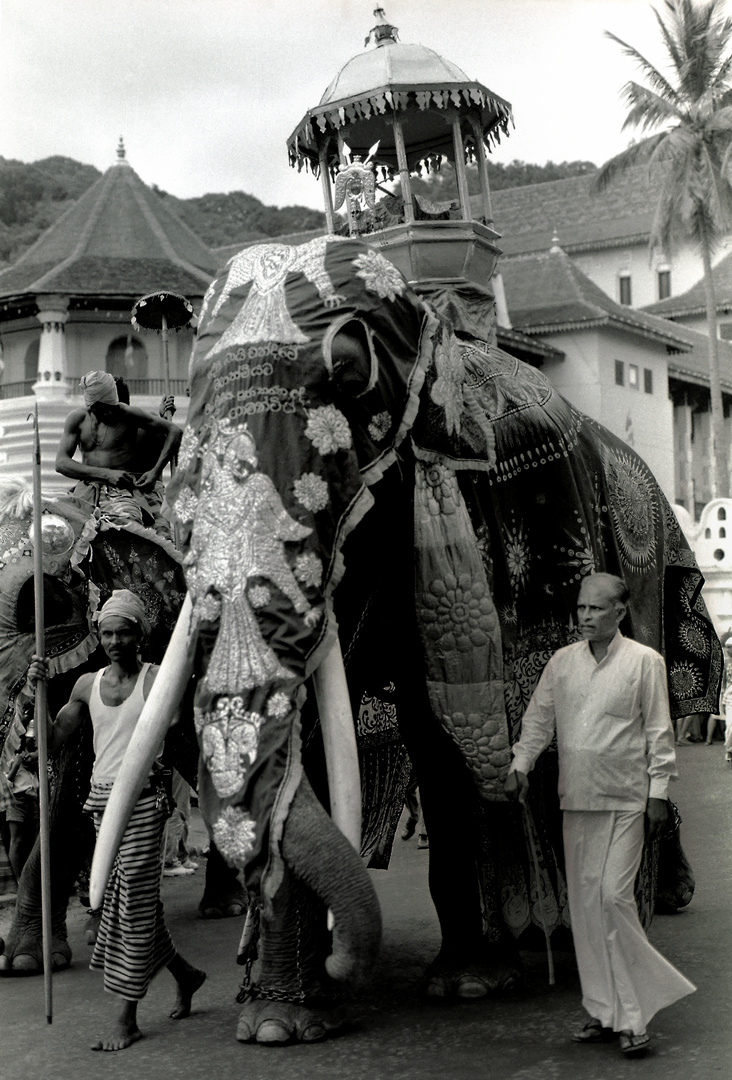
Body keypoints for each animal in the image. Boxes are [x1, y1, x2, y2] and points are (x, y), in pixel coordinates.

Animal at [93, 232, 721, 1041]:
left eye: (350, 376)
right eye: (191, 405)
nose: (342, 961)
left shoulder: (490, 501)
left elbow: (442, 728)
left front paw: (466, 986)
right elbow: (316, 741)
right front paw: (278, 1022)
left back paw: (642, 911)